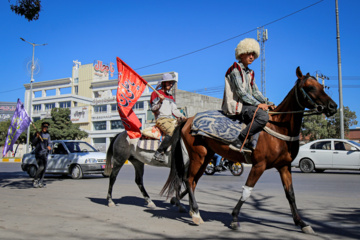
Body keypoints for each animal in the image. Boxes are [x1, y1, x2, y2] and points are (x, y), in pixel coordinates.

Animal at [161, 67, 338, 234]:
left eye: (322, 86)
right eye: (310, 87)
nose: (333, 106)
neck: (279, 128)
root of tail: (187, 120)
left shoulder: (284, 166)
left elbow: (290, 194)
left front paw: (302, 223)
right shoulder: (259, 165)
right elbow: (247, 191)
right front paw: (234, 218)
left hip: (206, 157)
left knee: (192, 181)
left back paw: (186, 206)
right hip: (198, 155)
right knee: (188, 179)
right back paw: (196, 213)